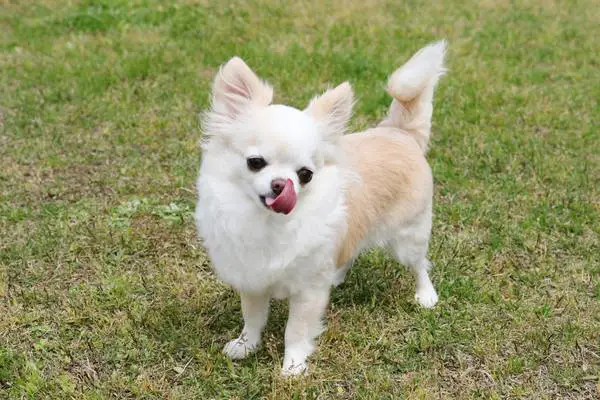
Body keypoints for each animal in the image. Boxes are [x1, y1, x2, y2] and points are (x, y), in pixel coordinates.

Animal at [196, 40, 446, 376]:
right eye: (255, 162)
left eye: (305, 175)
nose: (281, 184)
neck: (268, 223)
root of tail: (398, 132)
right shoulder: (252, 280)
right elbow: (253, 317)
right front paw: (245, 345)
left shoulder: (308, 291)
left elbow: (296, 330)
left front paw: (292, 366)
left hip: (409, 236)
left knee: (419, 265)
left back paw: (426, 295)